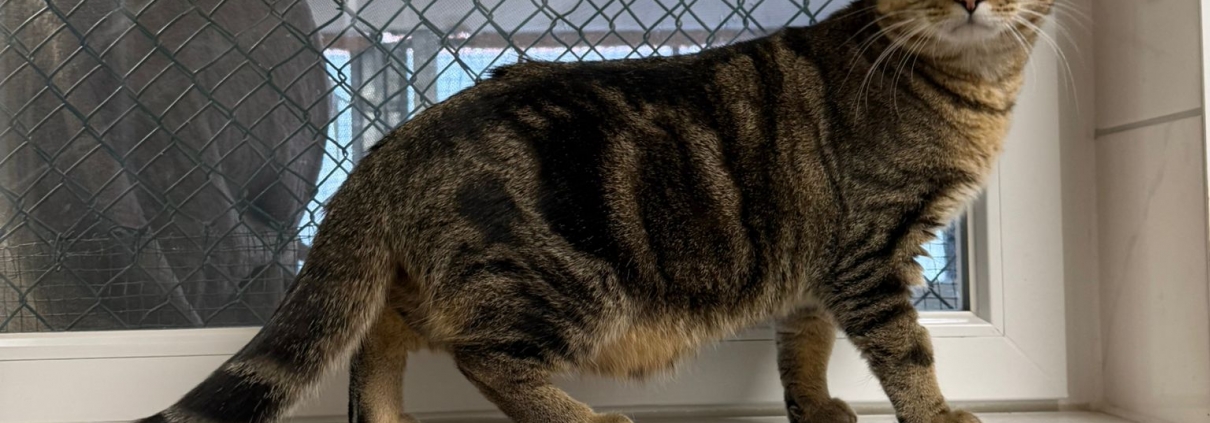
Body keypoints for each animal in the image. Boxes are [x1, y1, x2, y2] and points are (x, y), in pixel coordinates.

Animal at [137, 0, 1054, 422]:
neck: (977, 88)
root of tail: (397, 140)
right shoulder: (873, 252)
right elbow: (907, 352)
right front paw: (937, 413)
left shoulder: (825, 262)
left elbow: (805, 342)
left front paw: (815, 405)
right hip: (560, 282)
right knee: (482, 357)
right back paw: (580, 415)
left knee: (379, 340)